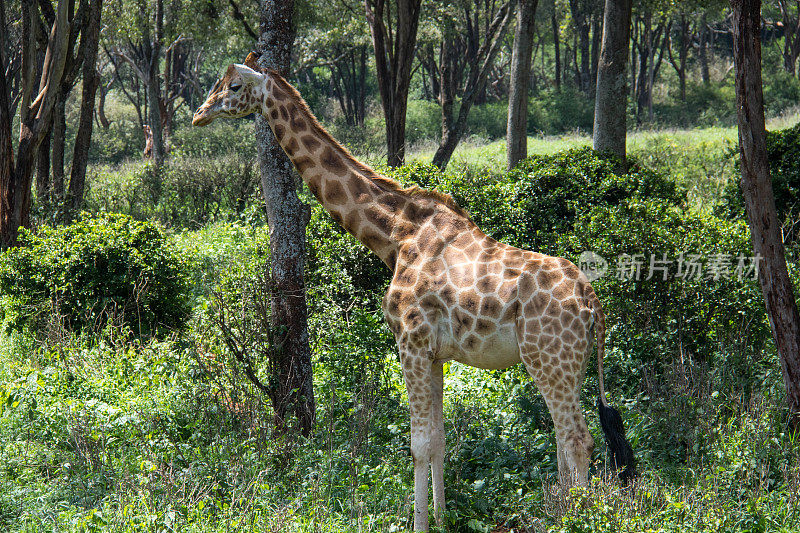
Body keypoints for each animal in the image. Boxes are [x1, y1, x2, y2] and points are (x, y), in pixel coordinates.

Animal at [191, 52, 636, 528]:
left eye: (234, 86)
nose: (199, 115)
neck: (396, 233)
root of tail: (593, 304)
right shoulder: (436, 353)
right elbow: (438, 439)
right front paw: (441, 518)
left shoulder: (410, 341)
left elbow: (419, 443)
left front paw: (420, 523)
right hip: (568, 365)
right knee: (563, 436)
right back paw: (562, 509)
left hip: (549, 359)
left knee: (577, 439)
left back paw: (577, 517)